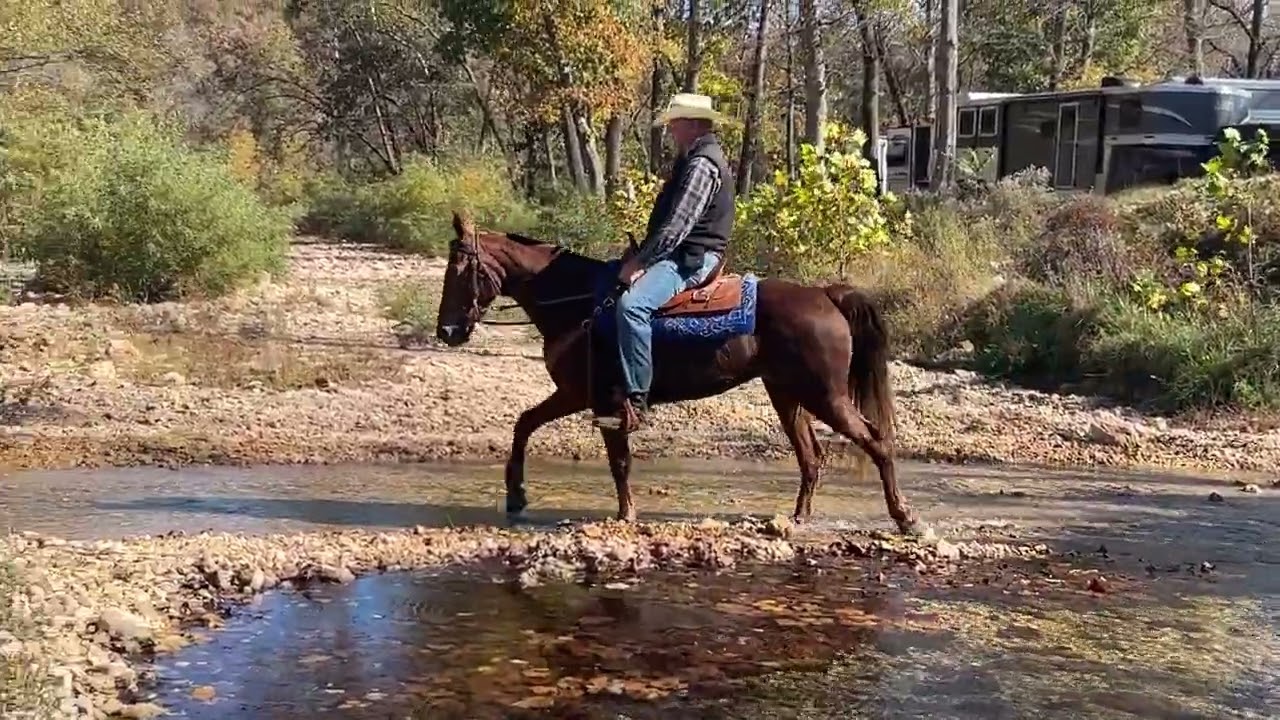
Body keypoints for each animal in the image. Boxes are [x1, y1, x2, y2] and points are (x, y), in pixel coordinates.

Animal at [434, 210, 920, 535]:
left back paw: (904, 517)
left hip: (825, 396)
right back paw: (799, 517)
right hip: (787, 394)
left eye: (458, 270)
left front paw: (625, 514)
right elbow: (524, 424)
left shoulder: (605, 403)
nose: (448, 331)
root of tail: (826, 294)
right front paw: (515, 495)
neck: (581, 303)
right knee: (811, 456)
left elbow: (619, 462)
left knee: (877, 442)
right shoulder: (576, 395)